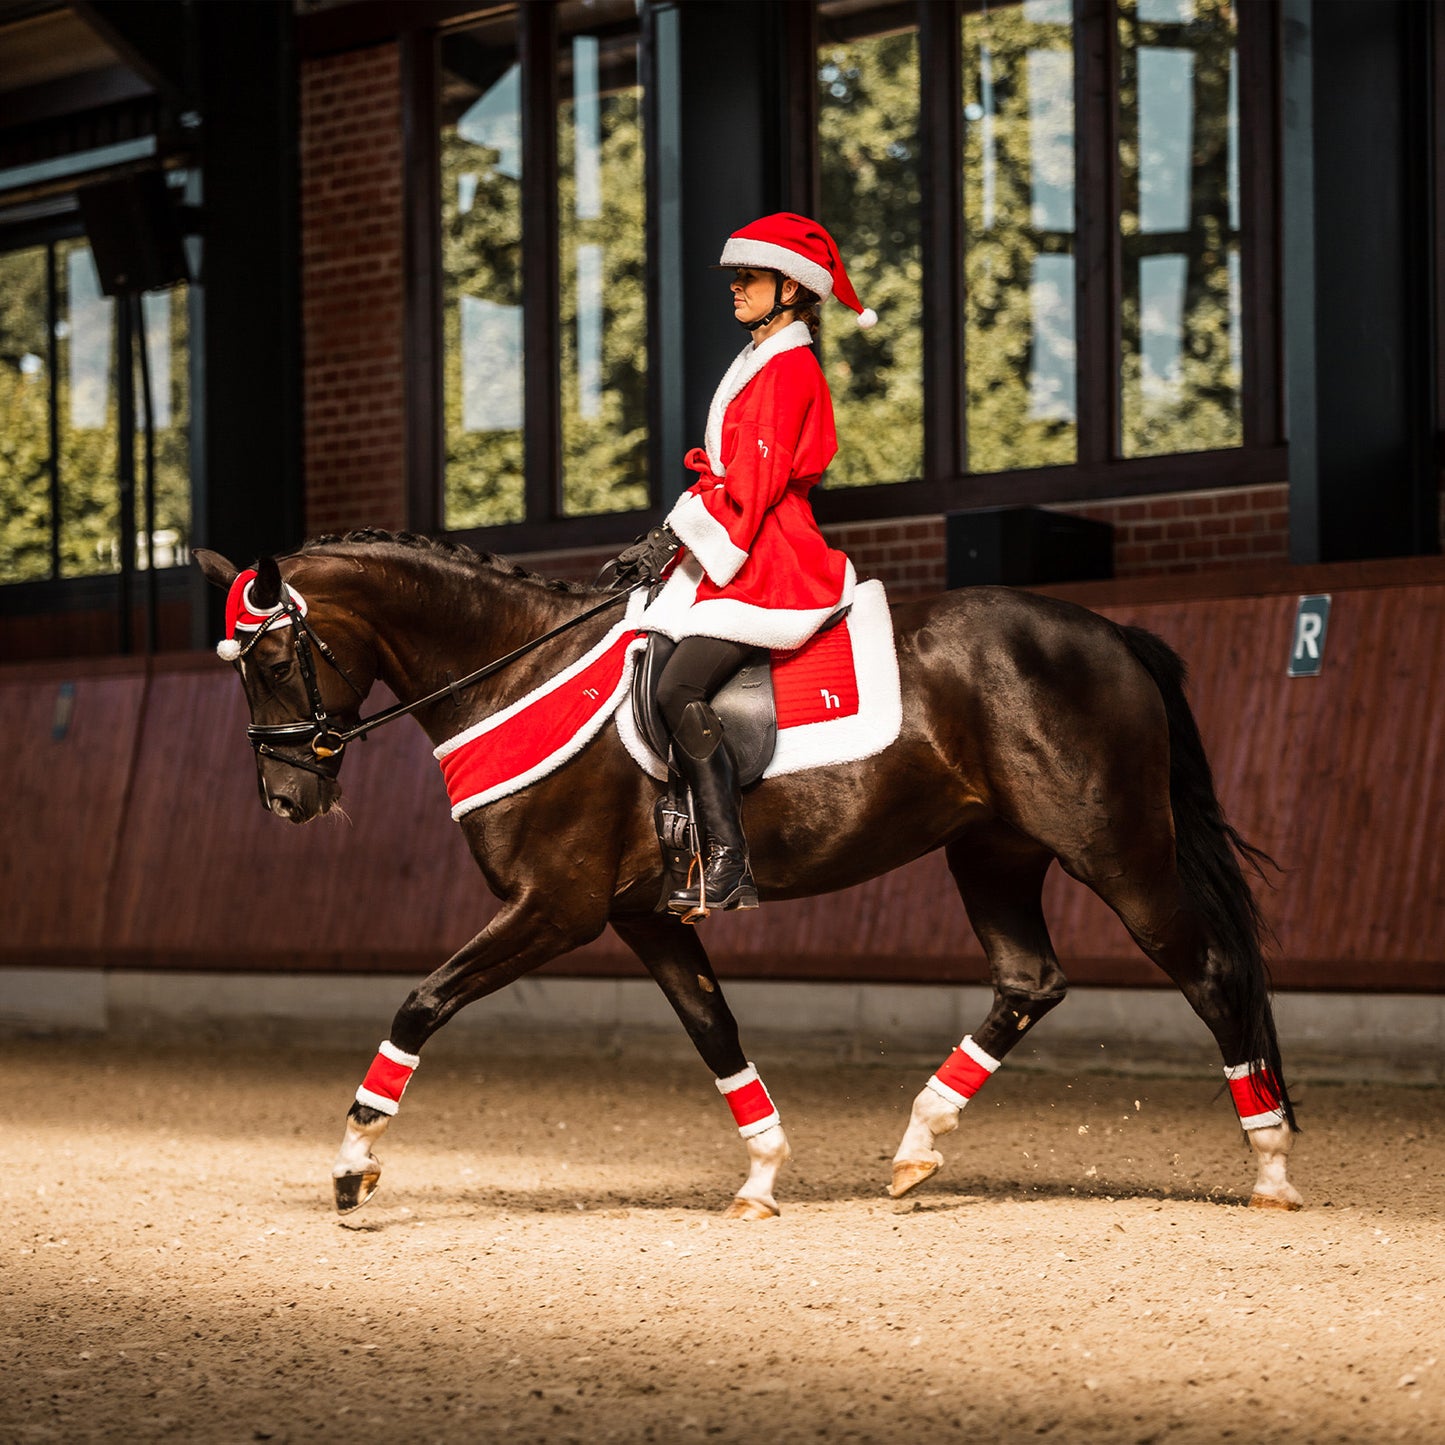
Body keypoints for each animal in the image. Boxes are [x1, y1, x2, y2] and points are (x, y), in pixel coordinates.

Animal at [195, 531, 1300, 1219]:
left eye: (273, 659)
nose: (286, 798)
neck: (516, 669)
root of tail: (1113, 633)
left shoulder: (554, 907)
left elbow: (419, 1003)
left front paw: (353, 1163)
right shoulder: (644, 916)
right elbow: (713, 1029)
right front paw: (762, 1176)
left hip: (1115, 849)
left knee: (1210, 974)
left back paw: (1270, 1166)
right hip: (991, 851)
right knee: (1030, 980)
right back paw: (917, 1140)